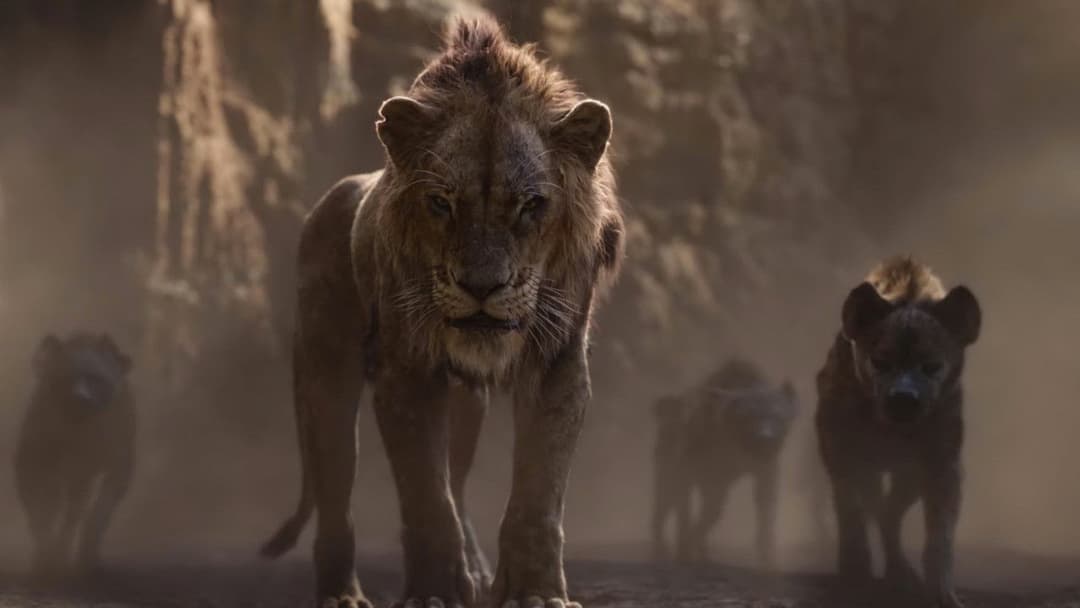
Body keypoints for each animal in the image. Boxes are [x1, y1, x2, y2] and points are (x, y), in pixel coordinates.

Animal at [14, 332, 135, 577]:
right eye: (65, 378)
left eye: (95, 378)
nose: (81, 398)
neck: (80, 433)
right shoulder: (33, 461)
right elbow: (41, 512)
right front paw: (46, 557)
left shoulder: (118, 464)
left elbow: (99, 512)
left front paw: (87, 557)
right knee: (65, 508)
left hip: (81, 477)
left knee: (74, 512)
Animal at [260, 15, 623, 608]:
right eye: (441, 203)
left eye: (531, 205)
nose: (481, 286)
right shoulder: (405, 371)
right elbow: (426, 497)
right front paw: (434, 593)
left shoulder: (558, 364)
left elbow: (537, 494)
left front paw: (533, 592)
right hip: (325, 377)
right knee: (337, 494)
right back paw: (342, 594)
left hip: (466, 406)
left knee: (456, 477)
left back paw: (475, 570)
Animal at [651, 359, 798, 568]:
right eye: (748, 418)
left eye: (778, 416)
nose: (766, 438)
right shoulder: (687, 468)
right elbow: (685, 513)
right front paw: (683, 552)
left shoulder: (764, 471)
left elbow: (765, 510)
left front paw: (768, 559)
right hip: (666, 470)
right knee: (662, 507)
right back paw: (660, 550)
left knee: (710, 509)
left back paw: (703, 553)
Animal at [815, 257, 981, 608]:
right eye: (880, 361)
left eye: (931, 365)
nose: (904, 398)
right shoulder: (846, 452)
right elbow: (852, 512)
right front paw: (855, 574)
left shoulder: (941, 463)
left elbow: (940, 533)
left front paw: (940, 592)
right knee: (867, 507)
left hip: (909, 477)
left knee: (890, 513)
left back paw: (900, 573)